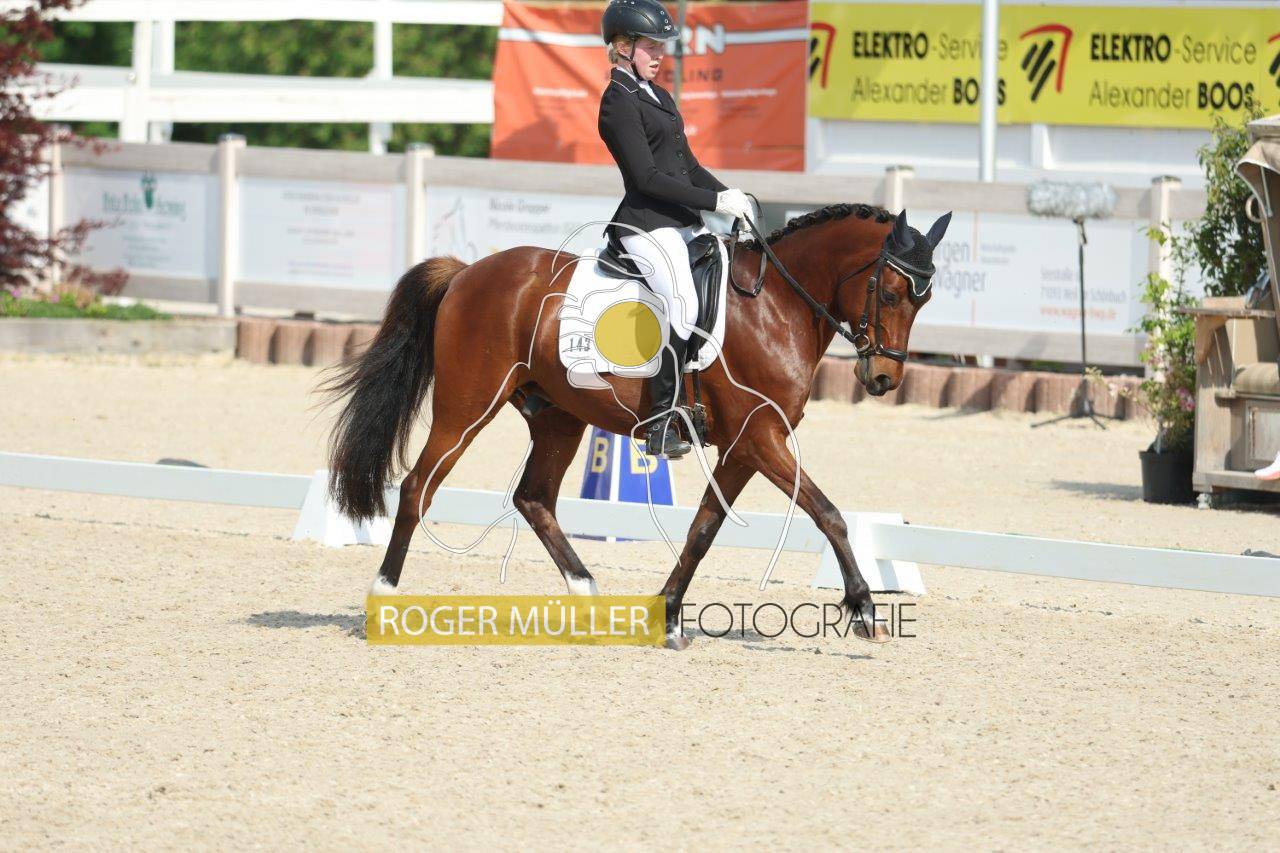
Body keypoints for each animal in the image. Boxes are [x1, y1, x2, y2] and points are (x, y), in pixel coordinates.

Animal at [321, 203, 951, 649]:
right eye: (889, 291)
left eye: (924, 301)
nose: (883, 378)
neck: (777, 304)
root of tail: (468, 272)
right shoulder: (759, 437)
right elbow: (829, 514)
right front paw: (865, 609)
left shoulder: (744, 447)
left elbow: (703, 529)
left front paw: (667, 615)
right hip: (467, 407)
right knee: (417, 488)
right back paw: (384, 599)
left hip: (559, 418)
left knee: (533, 499)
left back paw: (587, 596)